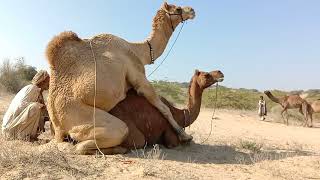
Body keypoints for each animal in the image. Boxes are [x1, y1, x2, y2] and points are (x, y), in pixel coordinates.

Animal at [45, 2, 195, 155]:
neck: (139, 51)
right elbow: (164, 108)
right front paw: (185, 136)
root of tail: (57, 126)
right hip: (81, 117)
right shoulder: (138, 75)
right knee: (84, 144)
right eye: (178, 9)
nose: (192, 10)